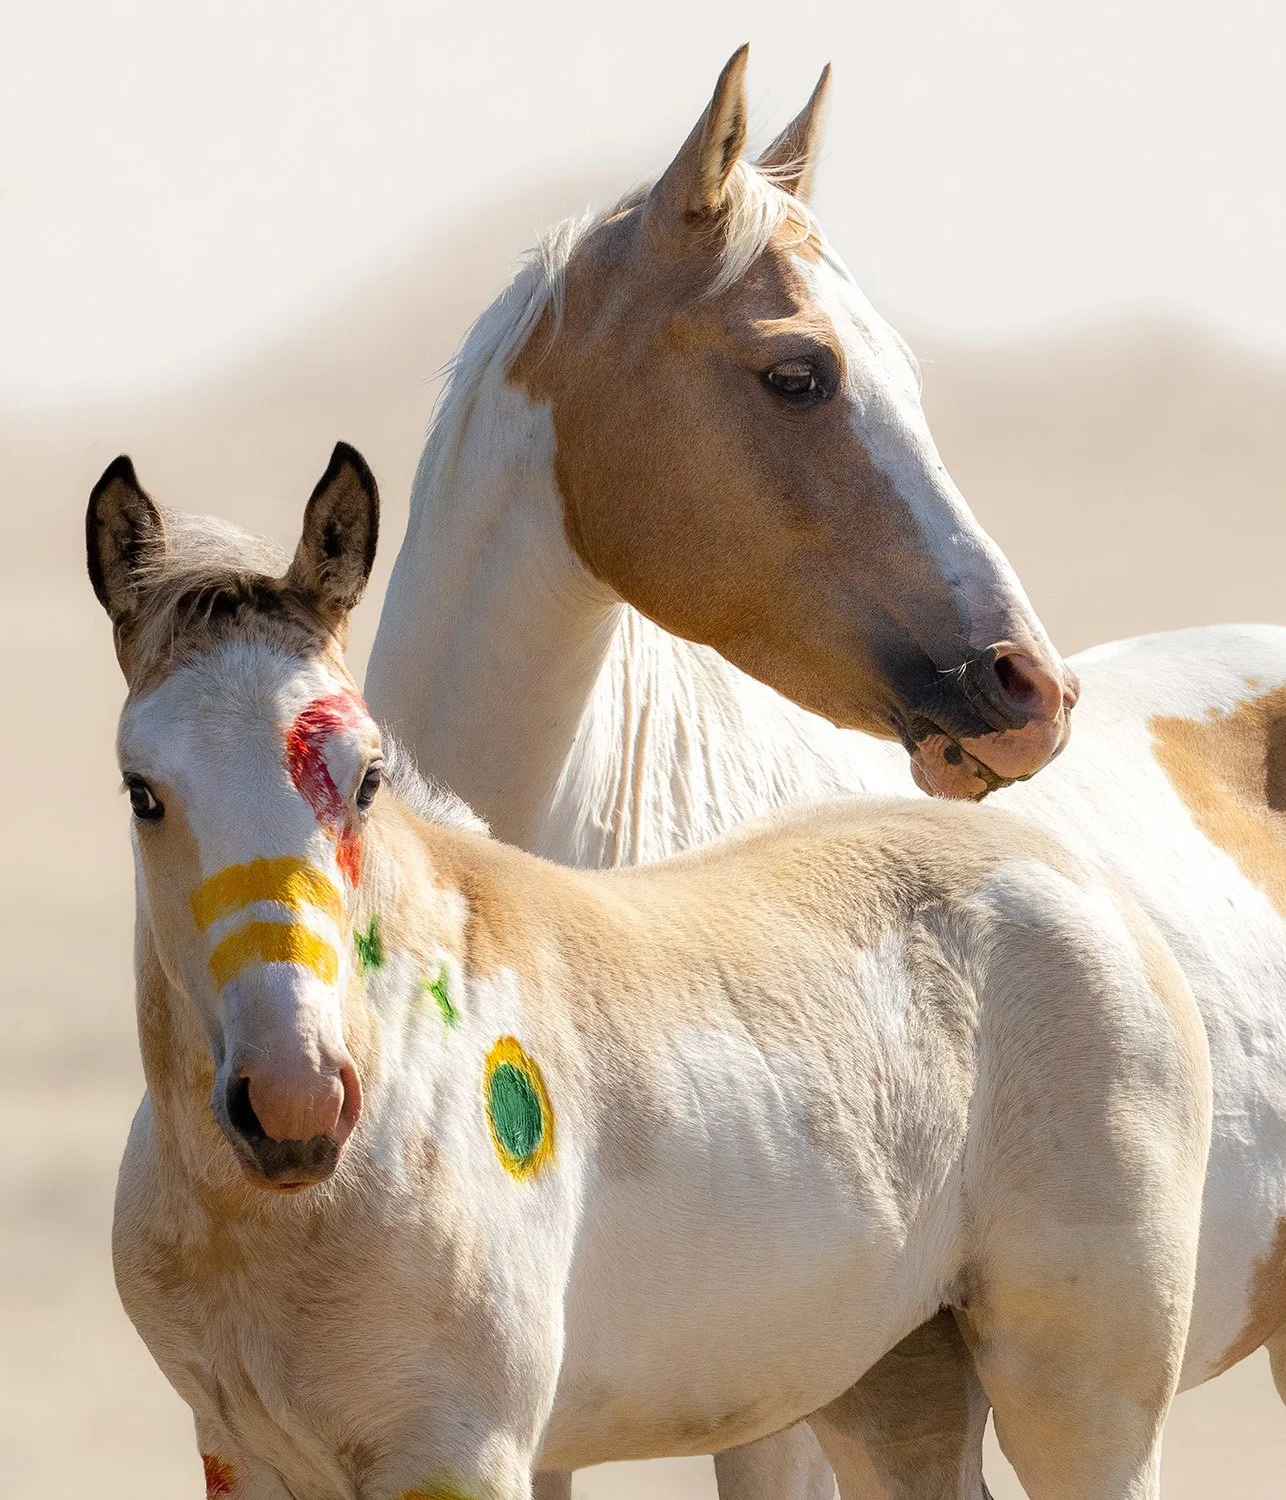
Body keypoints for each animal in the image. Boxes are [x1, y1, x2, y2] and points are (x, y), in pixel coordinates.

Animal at [89, 445, 1210, 1500]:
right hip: (891, 1380)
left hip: (1082, 1397)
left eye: (367, 777)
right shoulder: (240, 1452)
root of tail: (1080, 880)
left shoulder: (457, 1452)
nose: (296, 1105)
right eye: (141, 790)